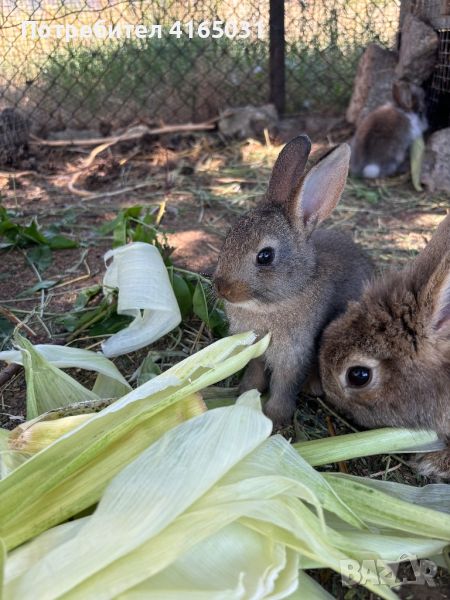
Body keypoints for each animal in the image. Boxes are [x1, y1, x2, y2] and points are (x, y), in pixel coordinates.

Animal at [214, 134, 372, 428]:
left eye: (265, 256)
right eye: (228, 238)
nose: (223, 289)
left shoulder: (294, 355)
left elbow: (284, 386)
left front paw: (275, 418)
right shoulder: (254, 351)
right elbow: (254, 373)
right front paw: (246, 393)